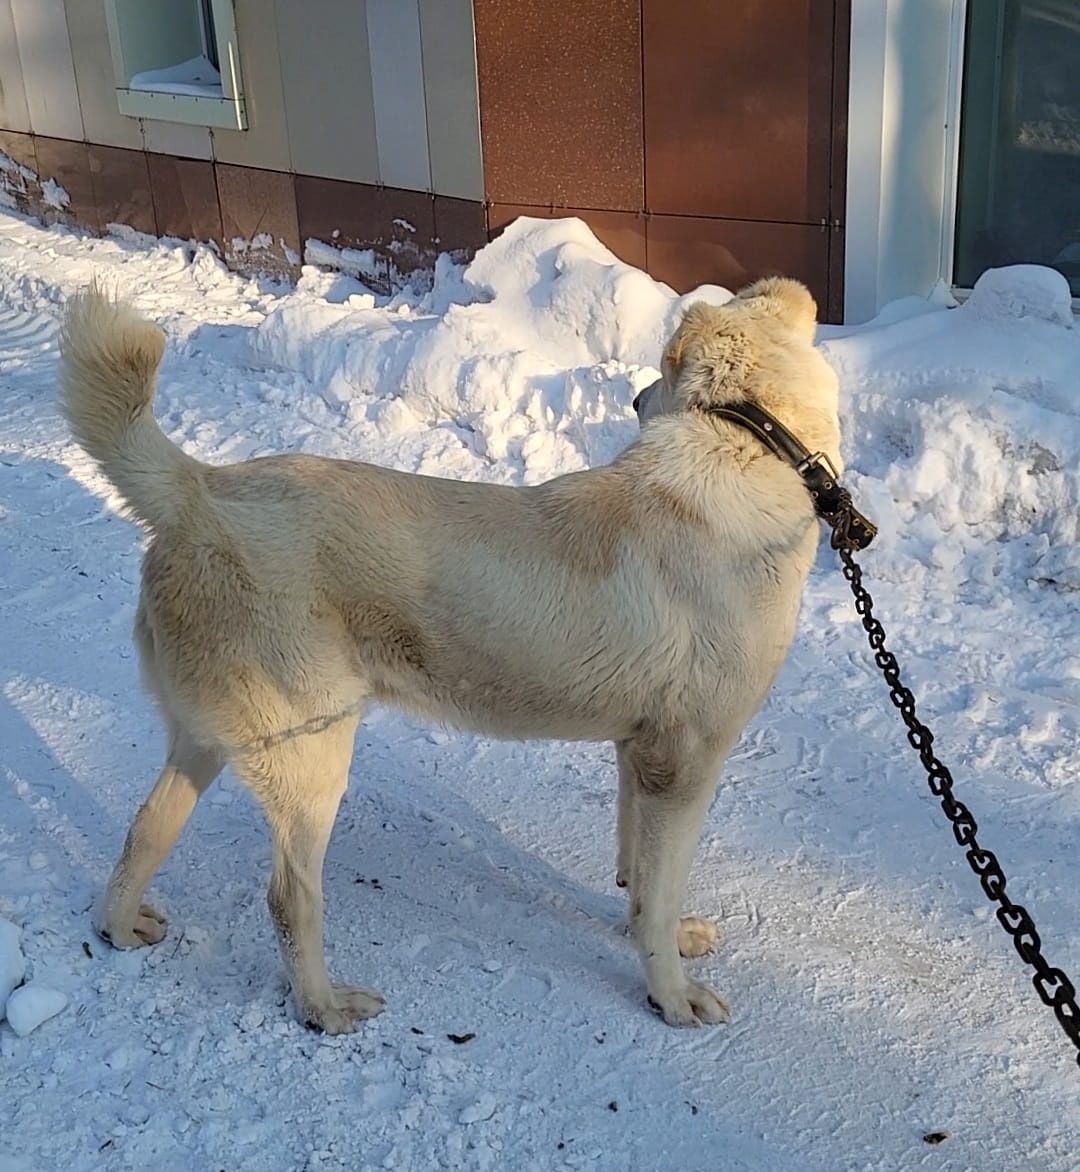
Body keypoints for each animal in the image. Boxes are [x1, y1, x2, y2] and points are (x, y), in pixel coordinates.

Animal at [60, 278, 843, 1031]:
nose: (635, 399)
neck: (742, 439)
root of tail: (199, 493)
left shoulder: (639, 752)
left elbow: (640, 878)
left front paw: (662, 935)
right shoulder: (683, 764)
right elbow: (661, 882)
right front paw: (672, 997)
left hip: (210, 738)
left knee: (145, 828)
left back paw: (119, 927)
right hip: (311, 755)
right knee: (287, 897)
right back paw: (323, 1007)